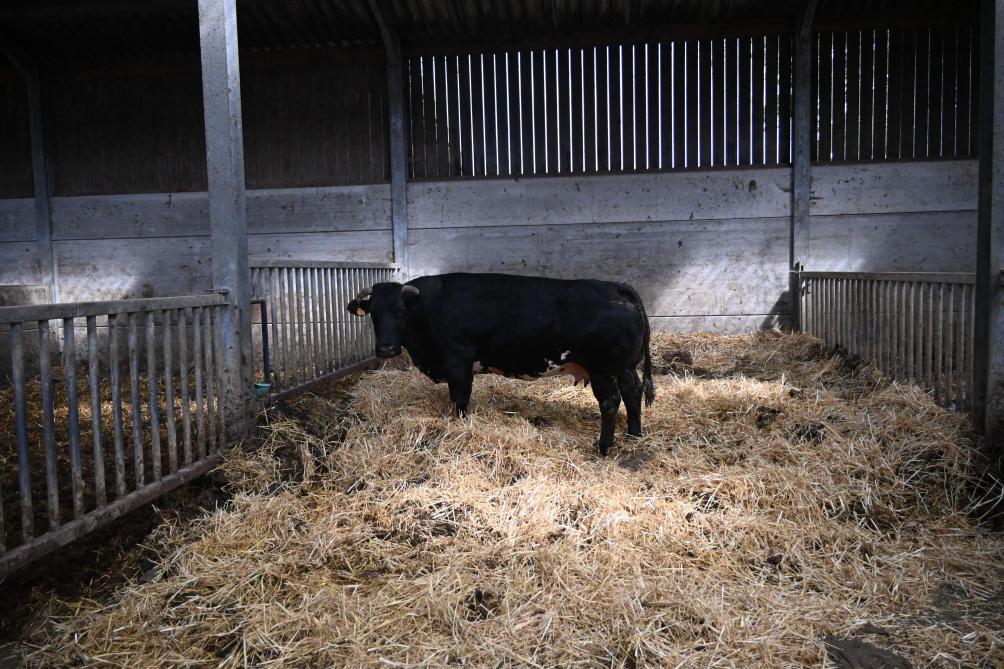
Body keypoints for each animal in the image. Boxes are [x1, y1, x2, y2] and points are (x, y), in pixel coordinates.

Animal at [347, 273, 654, 455]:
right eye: (374, 314)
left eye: (400, 313)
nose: (386, 349)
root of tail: (615, 286)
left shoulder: (458, 361)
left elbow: (460, 398)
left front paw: (461, 426)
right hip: (625, 368)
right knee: (632, 392)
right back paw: (634, 434)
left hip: (602, 370)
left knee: (611, 401)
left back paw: (603, 447)